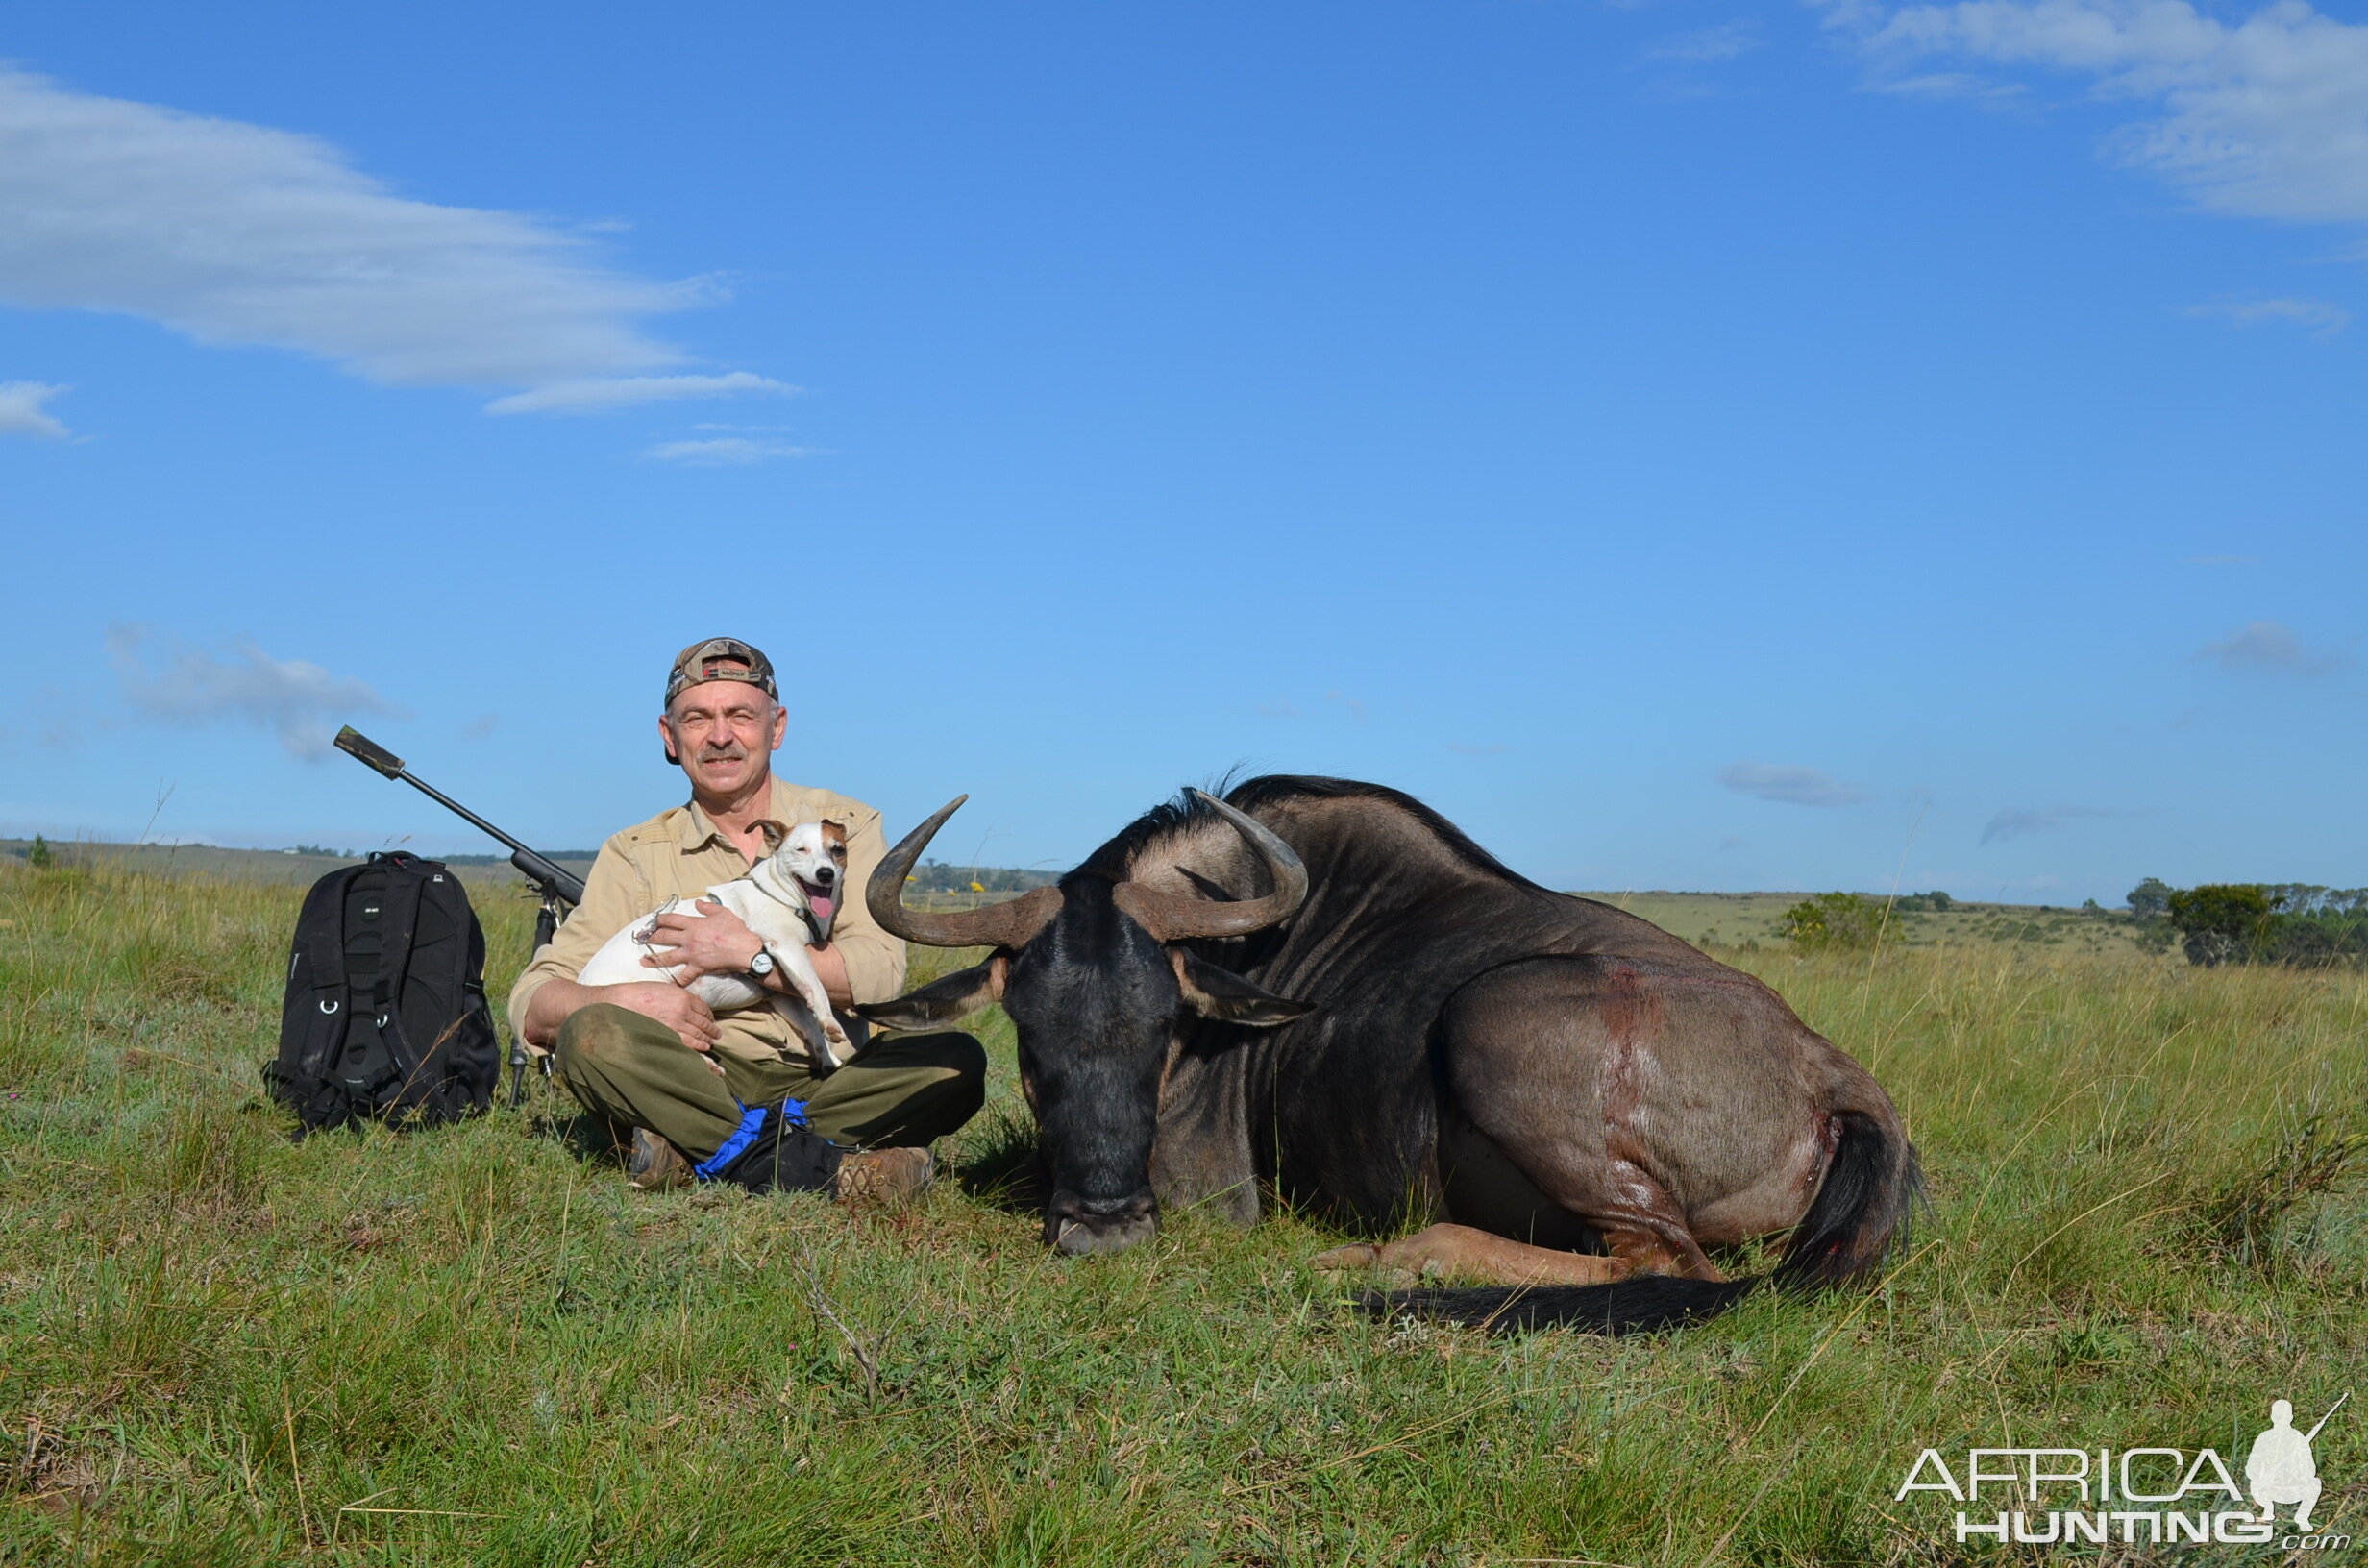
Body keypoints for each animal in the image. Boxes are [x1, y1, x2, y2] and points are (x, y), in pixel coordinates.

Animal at [578, 823, 856, 1070]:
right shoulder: (787, 946)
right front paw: (830, 1022)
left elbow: (810, 1023)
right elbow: (818, 989)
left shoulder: (783, 993)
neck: (782, 897)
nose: (825, 873)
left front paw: (828, 1056)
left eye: (838, 850)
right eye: (801, 849)